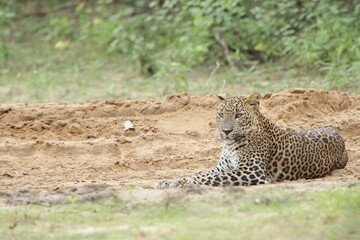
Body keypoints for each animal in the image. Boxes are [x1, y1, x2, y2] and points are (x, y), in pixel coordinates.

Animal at [155, 93, 348, 188]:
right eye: (220, 114)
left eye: (238, 115)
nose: (226, 131)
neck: (230, 144)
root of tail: (337, 132)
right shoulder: (222, 167)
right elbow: (200, 174)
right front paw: (169, 182)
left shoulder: (251, 171)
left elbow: (208, 179)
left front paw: (181, 184)